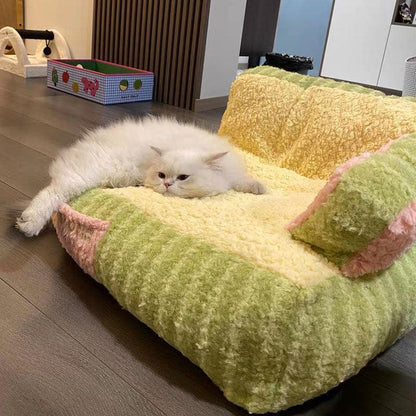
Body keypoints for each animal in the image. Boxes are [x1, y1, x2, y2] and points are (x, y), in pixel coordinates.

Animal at [16, 117, 264, 237]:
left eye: (183, 177)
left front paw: (259, 189)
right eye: (162, 175)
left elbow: (243, 181)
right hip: (85, 175)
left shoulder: (231, 174)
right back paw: (29, 223)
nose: (167, 184)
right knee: (52, 192)